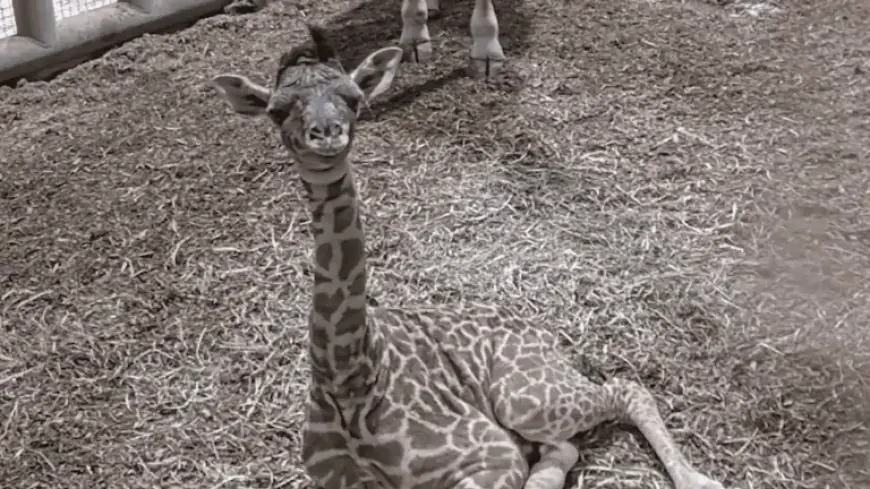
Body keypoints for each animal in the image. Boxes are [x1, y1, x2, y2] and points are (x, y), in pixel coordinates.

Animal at [210, 25, 727, 489]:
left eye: (355, 98)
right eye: (276, 111)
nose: (327, 135)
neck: (349, 377)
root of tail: (552, 338)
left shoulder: (490, 458)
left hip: (527, 399)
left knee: (626, 390)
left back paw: (700, 480)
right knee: (564, 446)